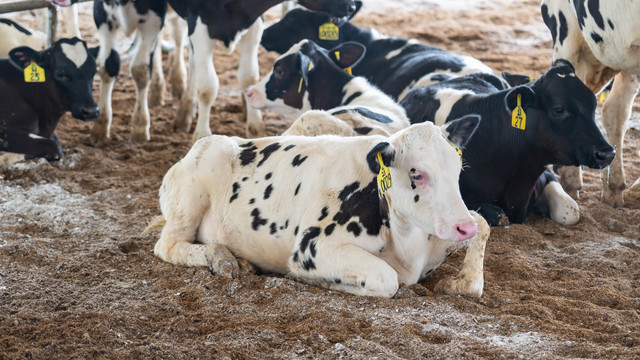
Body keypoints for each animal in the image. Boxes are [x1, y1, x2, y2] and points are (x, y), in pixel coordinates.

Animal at [149, 116, 490, 298]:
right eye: (417, 173)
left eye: (458, 168)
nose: (462, 227)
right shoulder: (311, 247)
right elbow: (386, 279)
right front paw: (317, 280)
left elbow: (483, 225)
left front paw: (460, 281)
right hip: (192, 193)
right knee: (169, 245)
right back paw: (221, 259)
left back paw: (240, 261)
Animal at [400, 62, 616, 225]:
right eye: (559, 109)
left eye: (593, 105)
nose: (606, 153)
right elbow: (498, 215)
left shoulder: (546, 174)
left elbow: (571, 211)